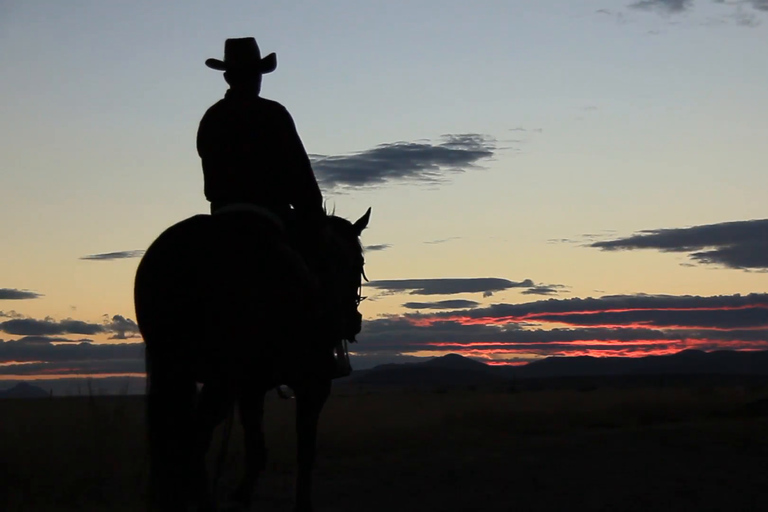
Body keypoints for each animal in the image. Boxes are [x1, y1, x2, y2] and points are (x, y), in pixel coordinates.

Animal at [134, 206, 368, 510]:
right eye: (359, 262)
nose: (352, 322)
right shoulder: (312, 384)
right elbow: (304, 451)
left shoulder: (251, 388)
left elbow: (256, 448)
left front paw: (242, 495)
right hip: (221, 377)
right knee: (194, 438)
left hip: (174, 367)